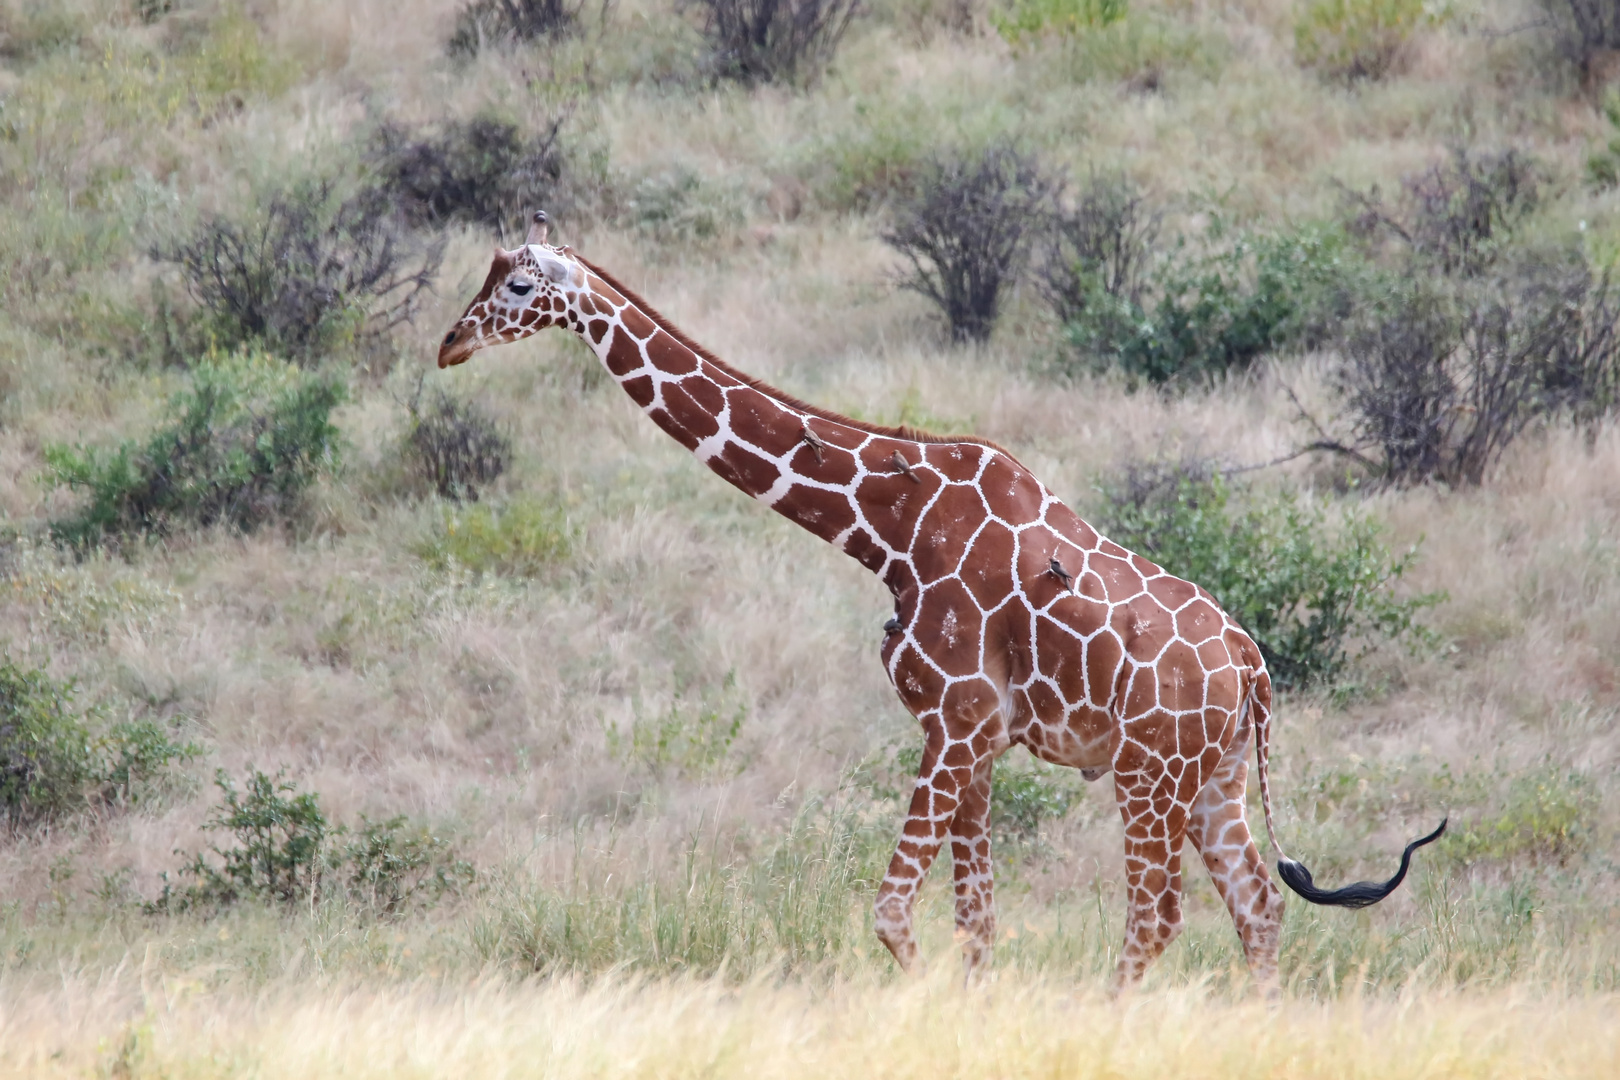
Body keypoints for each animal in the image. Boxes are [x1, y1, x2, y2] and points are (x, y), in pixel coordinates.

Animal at [440, 215, 1445, 990]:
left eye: (520, 285)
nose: (449, 343)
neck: (887, 527)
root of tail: (1253, 667)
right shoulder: (978, 737)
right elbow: (975, 923)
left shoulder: (957, 720)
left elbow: (892, 913)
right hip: (1215, 778)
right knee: (1259, 906)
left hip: (1149, 776)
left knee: (1156, 919)